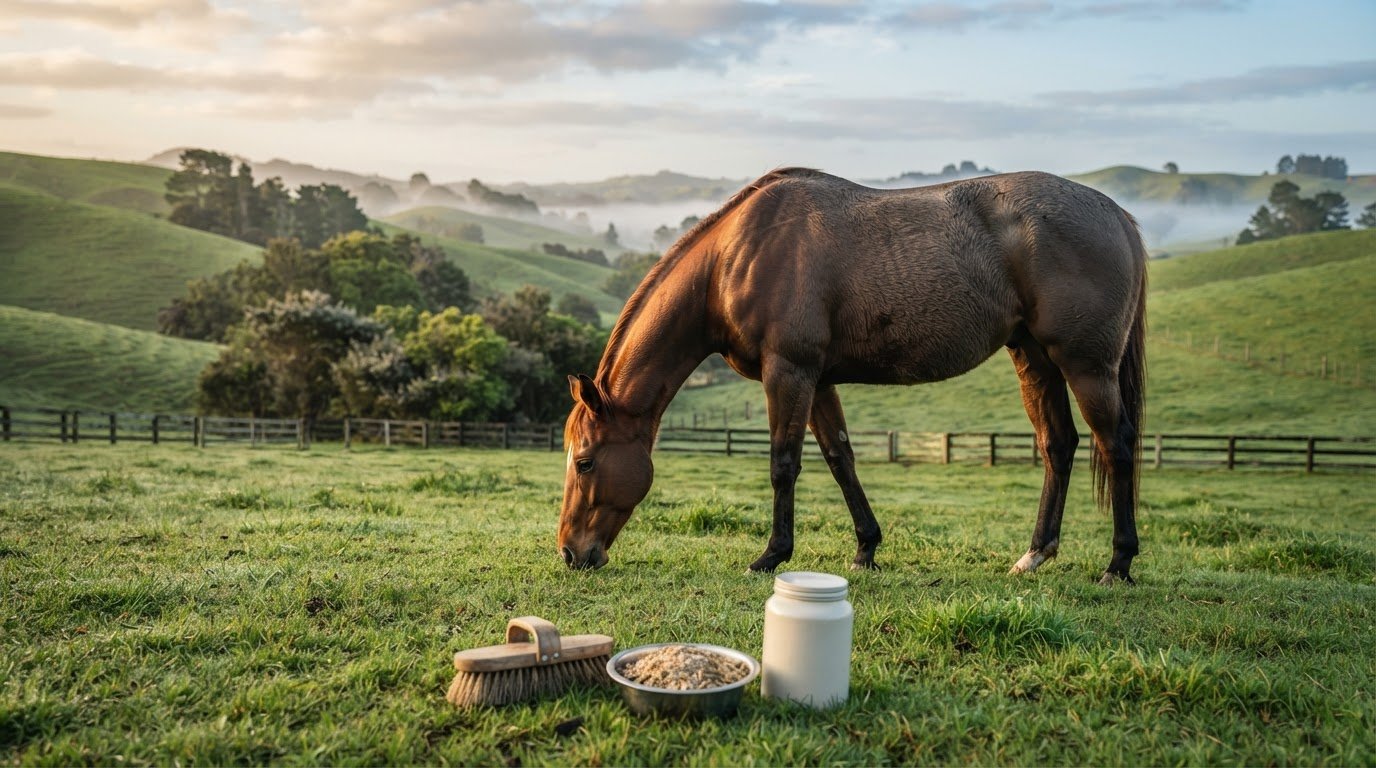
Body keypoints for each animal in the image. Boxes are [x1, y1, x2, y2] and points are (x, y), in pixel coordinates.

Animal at [558, 168, 1147, 585]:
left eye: (584, 461)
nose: (569, 552)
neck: (734, 257)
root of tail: (1117, 215)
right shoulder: (818, 380)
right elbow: (840, 458)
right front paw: (866, 548)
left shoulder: (789, 371)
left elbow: (784, 464)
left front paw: (771, 556)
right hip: (1035, 359)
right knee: (1058, 445)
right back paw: (1034, 555)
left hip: (1086, 366)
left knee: (1115, 446)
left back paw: (1118, 564)